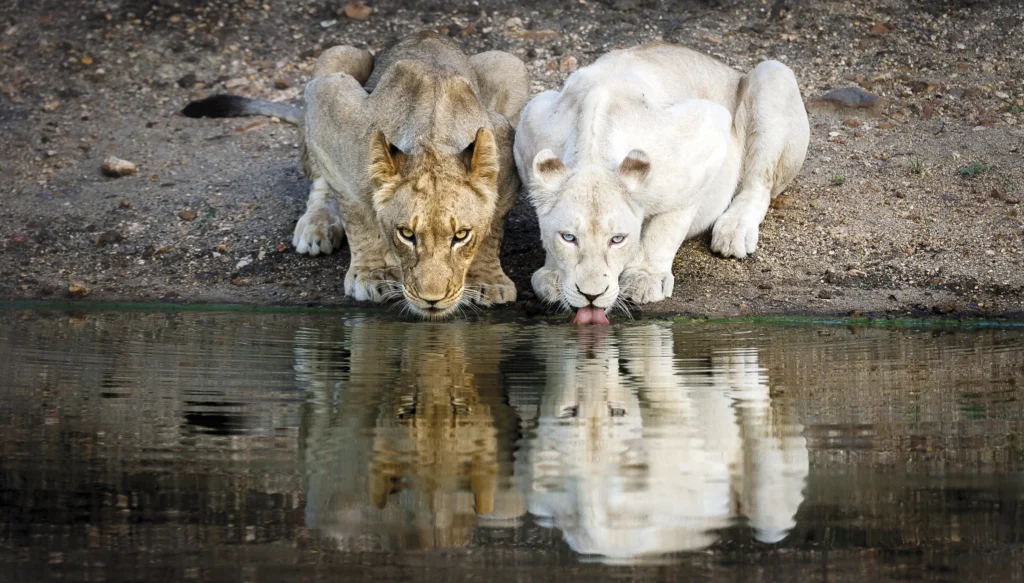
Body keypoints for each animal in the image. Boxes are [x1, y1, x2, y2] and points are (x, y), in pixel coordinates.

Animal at [183, 32, 529, 318]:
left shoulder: (506, 149)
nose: (432, 300)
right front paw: (373, 275)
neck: (432, 137)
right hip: (336, 58)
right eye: (407, 234)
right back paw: (317, 227)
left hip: (509, 63)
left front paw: (487, 280)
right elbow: (358, 216)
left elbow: (493, 227)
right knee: (319, 182)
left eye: (461, 235)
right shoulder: (329, 101)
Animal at [513, 42, 810, 324]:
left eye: (617, 239)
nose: (591, 295)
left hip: (773, 75)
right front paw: (552, 275)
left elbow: (668, 225)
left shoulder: (706, 134)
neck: (592, 149)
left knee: (759, 185)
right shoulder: (530, 123)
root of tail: (730, 69)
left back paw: (733, 232)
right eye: (568, 237)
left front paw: (645, 277)